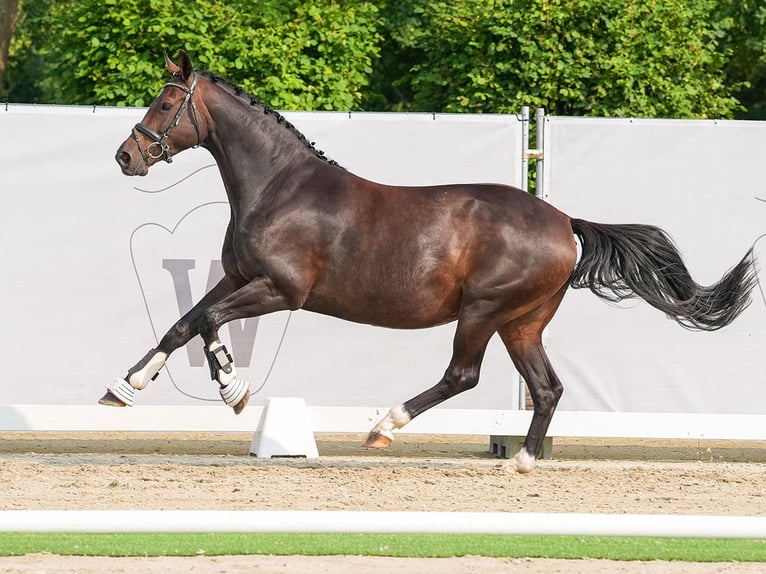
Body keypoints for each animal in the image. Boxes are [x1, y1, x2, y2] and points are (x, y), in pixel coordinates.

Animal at [99, 50, 760, 472]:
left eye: (166, 102)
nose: (126, 156)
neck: (277, 188)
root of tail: (564, 222)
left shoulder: (281, 290)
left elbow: (209, 325)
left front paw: (234, 390)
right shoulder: (240, 277)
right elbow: (183, 323)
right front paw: (122, 388)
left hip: (484, 312)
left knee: (463, 375)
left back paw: (383, 427)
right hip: (522, 323)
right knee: (546, 388)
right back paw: (522, 461)